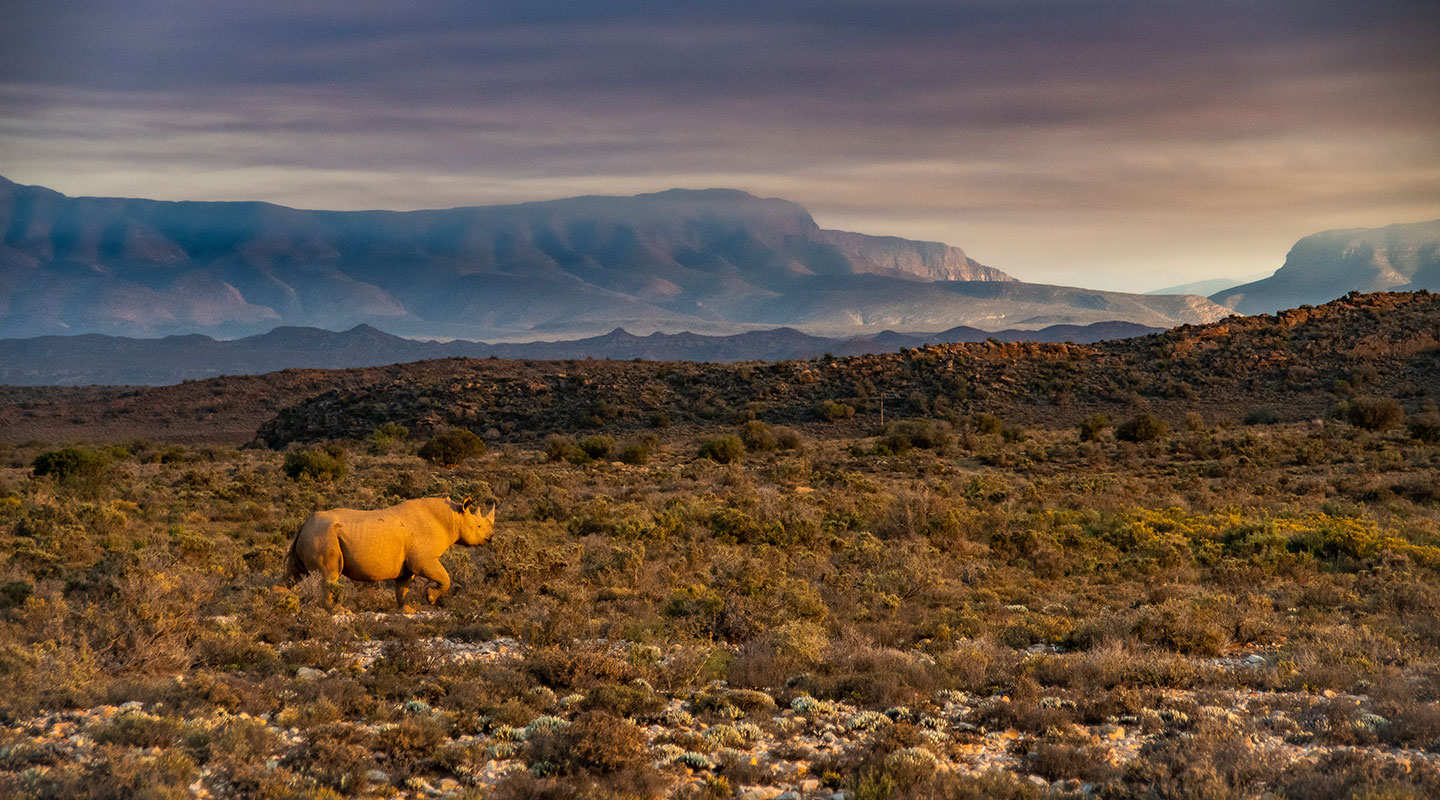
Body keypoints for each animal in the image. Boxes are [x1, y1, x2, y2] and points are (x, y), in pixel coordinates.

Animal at [284, 496, 495, 610]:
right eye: (478, 526)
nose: (491, 537)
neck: (453, 518)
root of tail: (305, 524)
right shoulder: (422, 560)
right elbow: (445, 578)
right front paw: (431, 598)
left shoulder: (408, 564)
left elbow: (403, 587)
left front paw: (407, 610)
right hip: (323, 535)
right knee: (330, 574)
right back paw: (340, 612)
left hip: (313, 534)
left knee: (293, 574)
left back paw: (282, 600)